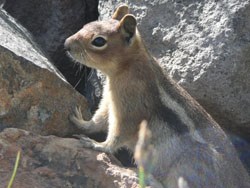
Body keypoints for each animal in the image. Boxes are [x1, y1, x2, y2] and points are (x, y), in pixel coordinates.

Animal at [65, 4, 250, 188]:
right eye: (87, 24)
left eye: (99, 41)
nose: (66, 45)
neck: (128, 67)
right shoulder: (110, 101)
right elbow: (98, 120)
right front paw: (81, 121)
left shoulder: (130, 110)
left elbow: (117, 134)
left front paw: (98, 145)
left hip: (188, 169)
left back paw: (150, 179)